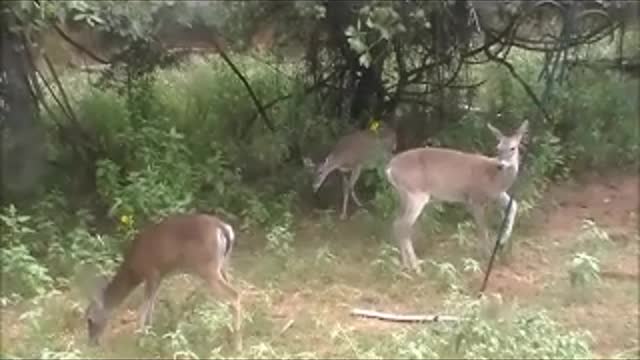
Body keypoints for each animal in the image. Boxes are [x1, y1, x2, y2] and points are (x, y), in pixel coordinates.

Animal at [84, 212, 242, 350]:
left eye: (90, 319)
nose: (92, 342)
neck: (133, 269)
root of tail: (224, 228)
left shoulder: (151, 273)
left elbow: (144, 307)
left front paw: (139, 338)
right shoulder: (159, 276)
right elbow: (151, 305)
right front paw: (149, 331)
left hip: (208, 268)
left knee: (234, 294)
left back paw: (236, 344)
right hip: (223, 265)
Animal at [384, 119, 528, 272]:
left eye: (513, 148)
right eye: (498, 148)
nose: (501, 165)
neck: (495, 178)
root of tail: (389, 168)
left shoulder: (496, 195)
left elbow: (514, 206)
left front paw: (502, 241)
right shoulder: (475, 197)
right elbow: (482, 228)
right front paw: (487, 255)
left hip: (403, 195)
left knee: (396, 223)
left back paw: (405, 265)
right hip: (416, 193)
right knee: (403, 225)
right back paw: (416, 267)